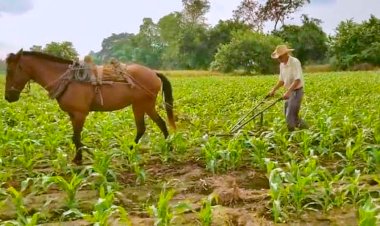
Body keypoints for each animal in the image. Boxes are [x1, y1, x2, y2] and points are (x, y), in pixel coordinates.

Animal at [3, 49, 176, 164]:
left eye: (10, 70)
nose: (8, 97)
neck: (68, 80)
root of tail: (153, 73)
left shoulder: (80, 113)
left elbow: (76, 137)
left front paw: (84, 156)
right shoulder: (73, 114)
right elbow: (75, 137)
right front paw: (80, 156)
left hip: (141, 105)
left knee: (143, 128)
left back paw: (134, 151)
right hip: (145, 105)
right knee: (159, 124)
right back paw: (167, 147)